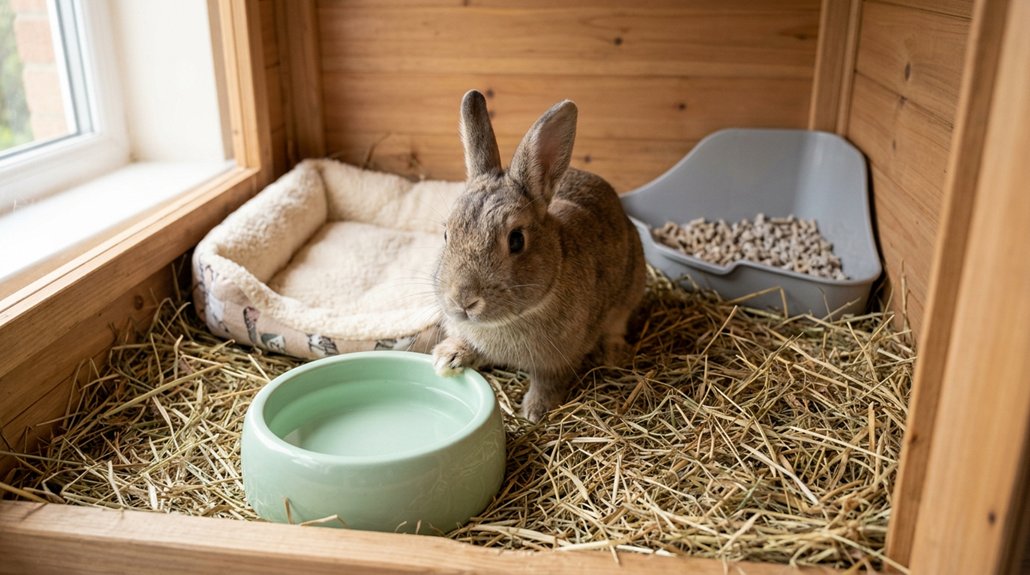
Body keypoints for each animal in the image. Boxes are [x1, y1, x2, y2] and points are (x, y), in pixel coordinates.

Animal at [431, 90, 646, 422]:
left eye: (516, 240)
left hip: (631, 288)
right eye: (446, 234)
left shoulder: (556, 362)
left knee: (617, 325)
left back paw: (612, 355)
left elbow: (548, 382)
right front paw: (447, 357)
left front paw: (535, 411)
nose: (462, 300)